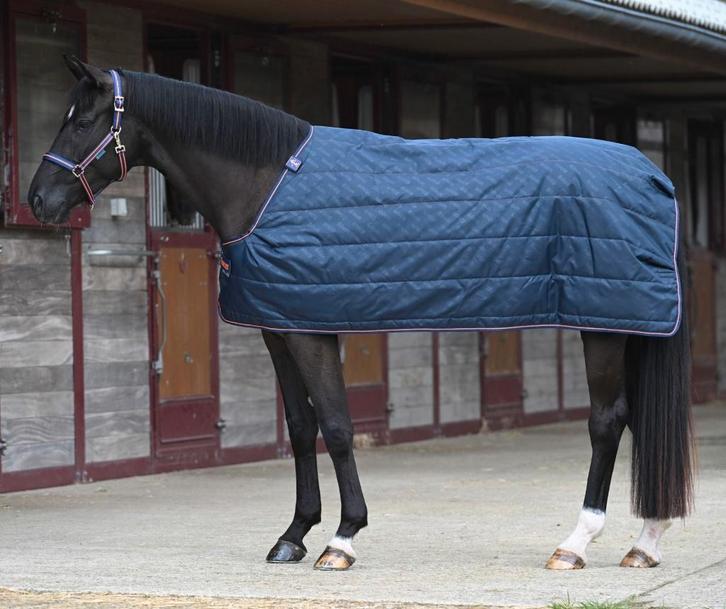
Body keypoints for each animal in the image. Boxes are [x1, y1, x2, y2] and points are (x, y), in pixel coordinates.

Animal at [27, 56, 693, 572]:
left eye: (82, 121)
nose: (37, 200)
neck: (266, 182)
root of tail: (655, 176)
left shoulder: (314, 332)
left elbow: (340, 427)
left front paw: (342, 539)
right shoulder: (280, 328)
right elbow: (301, 429)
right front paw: (294, 535)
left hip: (603, 327)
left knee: (608, 421)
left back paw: (576, 544)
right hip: (631, 326)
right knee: (639, 421)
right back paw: (645, 543)